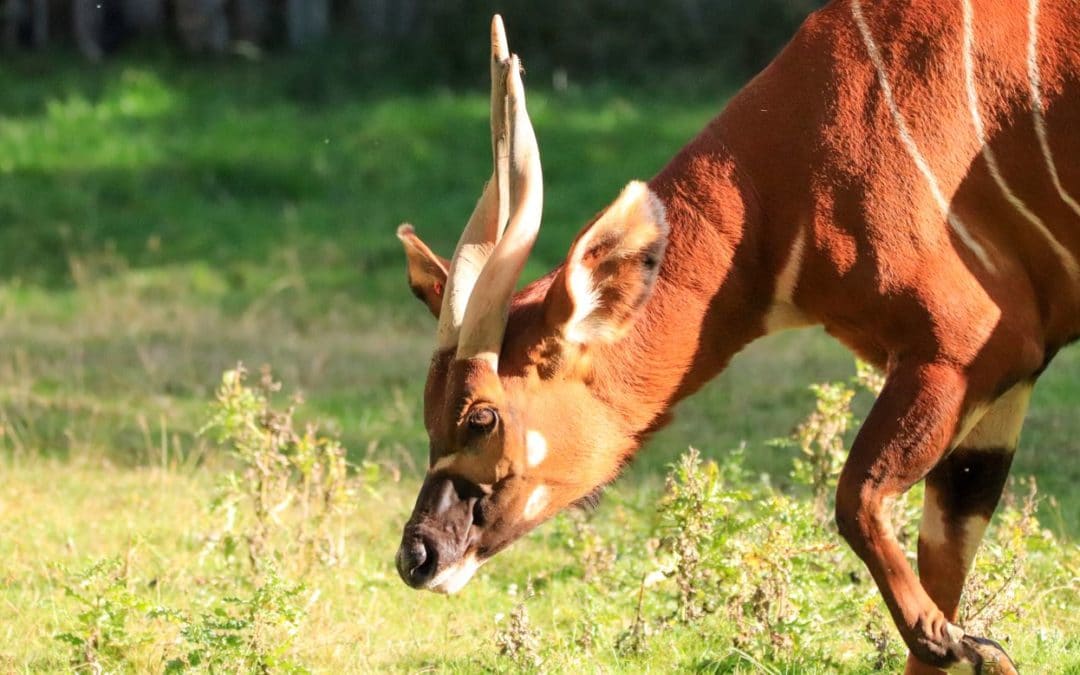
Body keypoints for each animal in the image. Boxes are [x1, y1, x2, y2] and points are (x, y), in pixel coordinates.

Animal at [393, 3, 1075, 669]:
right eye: (429, 415)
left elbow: (857, 500)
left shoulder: (962, 350)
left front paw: (961, 641)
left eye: (482, 417)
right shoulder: (1002, 379)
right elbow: (945, 547)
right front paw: (973, 645)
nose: (416, 557)